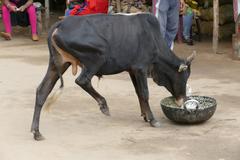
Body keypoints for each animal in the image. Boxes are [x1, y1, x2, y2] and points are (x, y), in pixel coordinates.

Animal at [30, 13, 195, 141]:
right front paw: (153, 120)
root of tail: (61, 23)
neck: (153, 40)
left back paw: (36, 132)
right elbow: (144, 93)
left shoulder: (132, 70)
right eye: (184, 77)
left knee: (42, 90)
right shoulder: (141, 68)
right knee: (82, 81)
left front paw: (145, 115)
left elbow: (138, 93)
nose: (183, 100)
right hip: (96, 57)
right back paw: (103, 105)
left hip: (58, 63)